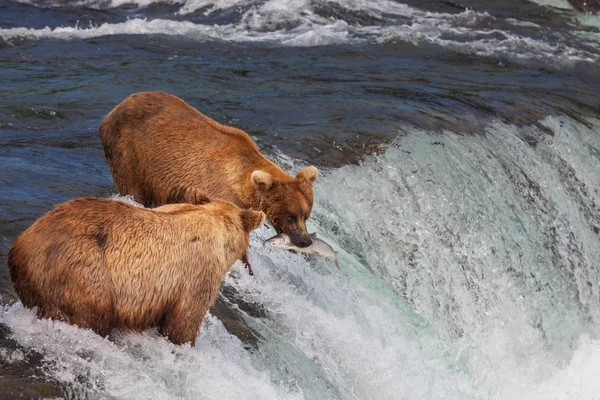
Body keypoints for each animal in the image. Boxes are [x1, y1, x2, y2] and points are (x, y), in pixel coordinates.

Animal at [98, 91, 318, 274]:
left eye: (305, 215)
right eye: (290, 216)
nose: (305, 241)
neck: (241, 184)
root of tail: (115, 108)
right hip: (130, 155)